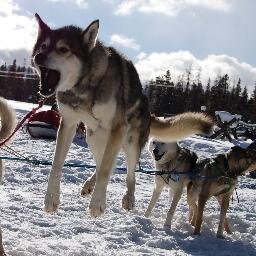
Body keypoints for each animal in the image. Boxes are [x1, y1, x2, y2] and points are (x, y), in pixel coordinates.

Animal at [31, 14, 212, 217]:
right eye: (43, 46)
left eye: (63, 49)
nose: (38, 56)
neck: (84, 86)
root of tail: (149, 110)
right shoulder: (68, 123)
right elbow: (57, 164)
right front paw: (51, 199)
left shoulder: (118, 128)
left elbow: (106, 170)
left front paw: (97, 204)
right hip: (94, 138)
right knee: (103, 163)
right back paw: (90, 185)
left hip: (130, 142)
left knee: (128, 174)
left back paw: (128, 198)